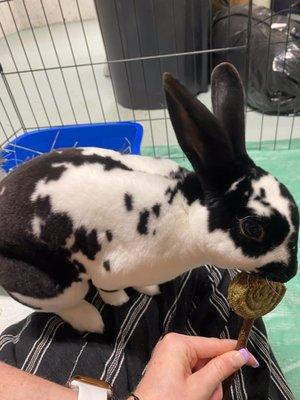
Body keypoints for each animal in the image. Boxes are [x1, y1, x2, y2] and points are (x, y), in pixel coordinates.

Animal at [0, 63, 298, 334]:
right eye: (253, 229)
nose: (290, 272)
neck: (184, 211)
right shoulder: (108, 268)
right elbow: (108, 288)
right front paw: (119, 300)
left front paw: (149, 288)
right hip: (50, 283)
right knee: (62, 304)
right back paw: (91, 322)